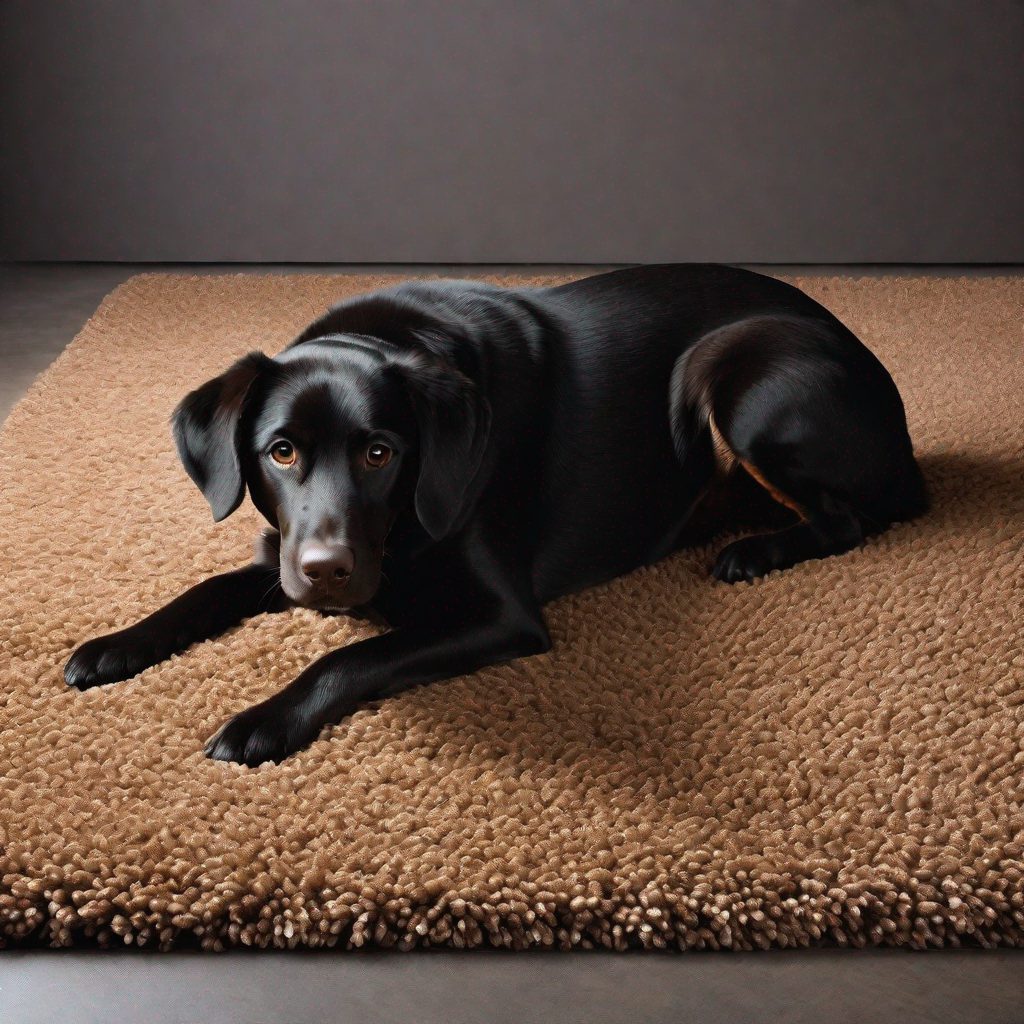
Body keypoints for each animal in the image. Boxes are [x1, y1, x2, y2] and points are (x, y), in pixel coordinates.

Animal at [61, 264, 929, 761]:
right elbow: (204, 590)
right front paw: (115, 644)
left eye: (381, 453)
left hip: (735, 369)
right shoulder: (279, 549)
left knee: (851, 520)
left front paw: (262, 720)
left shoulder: (503, 615)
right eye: (280, 452)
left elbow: (353, 657)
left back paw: (754, 550)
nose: (329, 572)